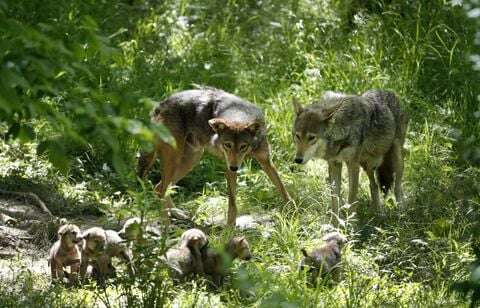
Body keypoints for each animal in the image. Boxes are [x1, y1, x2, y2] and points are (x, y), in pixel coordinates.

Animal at [137, 86, 290, 226]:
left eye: (243, 146)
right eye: (227, 145)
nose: (234, 167)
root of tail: (160, 105)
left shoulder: (266, 161)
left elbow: (282, 188)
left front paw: (292, 211)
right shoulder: (228, 169)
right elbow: (232, 203)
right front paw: (230, 229)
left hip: (192, 159)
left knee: (159, 187)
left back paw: (177, 214)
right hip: (175, 160)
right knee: (161, 190)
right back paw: (166, 224)